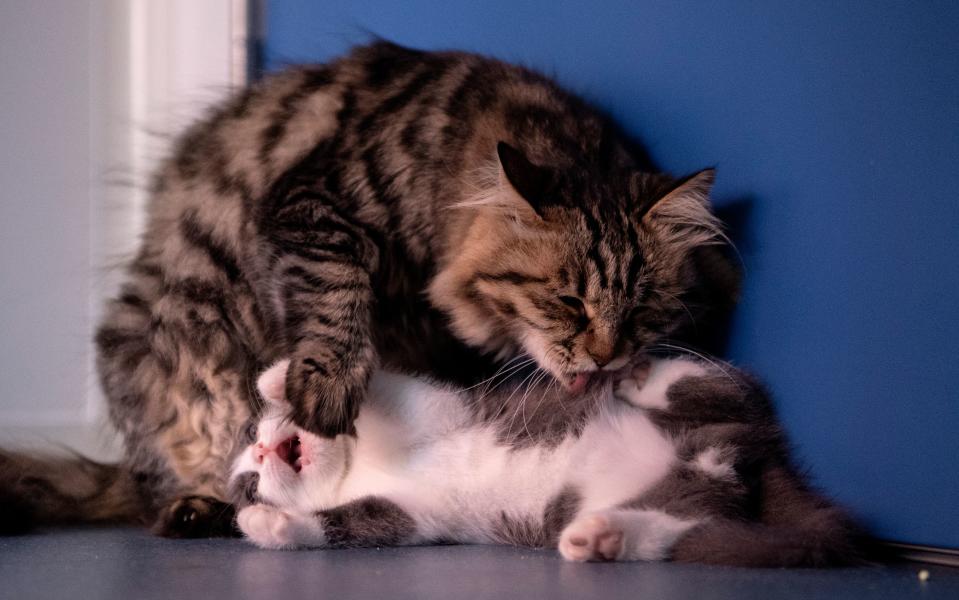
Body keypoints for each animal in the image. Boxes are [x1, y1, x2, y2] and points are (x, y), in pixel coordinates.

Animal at [0, 43, 740, 540]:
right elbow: (337, 295)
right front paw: (328, 385)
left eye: (641, 309)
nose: (607, 357)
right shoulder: (314, 206)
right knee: (180, 488)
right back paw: (198, 509)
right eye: (567, 301)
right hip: (169, 357)